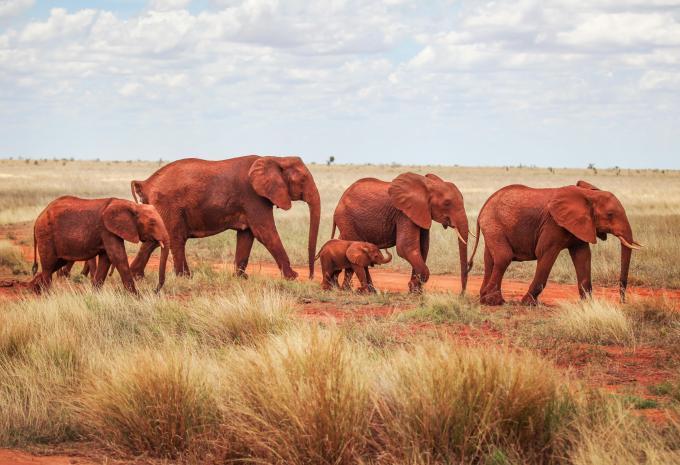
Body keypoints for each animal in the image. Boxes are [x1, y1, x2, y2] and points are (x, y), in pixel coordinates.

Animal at [30, 196, 170, 295]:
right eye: (152, 223)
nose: (155, 290)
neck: (131, 205)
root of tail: (38, 218)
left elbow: (106, 260)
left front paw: (95, 295)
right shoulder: (107, 229)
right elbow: (118, 257)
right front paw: (137, 297)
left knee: (56, 263)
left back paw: (33, 289)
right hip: (46, 235)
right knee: (48, 265)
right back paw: (47, 294)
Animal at [129, 155, 321, 281]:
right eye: (303, 180)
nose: (311, 277)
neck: (276, 158)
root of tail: (145, 183)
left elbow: (247, 235)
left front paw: (241, 278)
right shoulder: (253, 197)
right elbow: (265, 233)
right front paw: (292, 277)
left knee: (155, 240)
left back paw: (137, 276)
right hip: (170, 206)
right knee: (176, 238)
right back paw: (185, 278)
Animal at [332, 172, 469, 293]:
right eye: (447, 203)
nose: (461, 294)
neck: (427, 185)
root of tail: (340, 200)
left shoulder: (422, 213)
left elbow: (422, 248)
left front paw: (416, 291)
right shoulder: (404, 214)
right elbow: (405, 248)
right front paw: (413, 287)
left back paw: (355, 290)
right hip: (346, 219)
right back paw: (355, 291)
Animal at [468, 180, 642, 306]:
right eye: (610, 214)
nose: (622, 301)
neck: (587, 195)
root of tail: (485, 205)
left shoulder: (580, 226)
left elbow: (583, 256)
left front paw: (588, 305)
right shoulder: (553, 224)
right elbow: (545, 253)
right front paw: (528, 304)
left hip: (492, 227)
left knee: (490, 259)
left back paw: (486, 299)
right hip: (494, 224)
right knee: (503, 257)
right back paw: (493, 302)